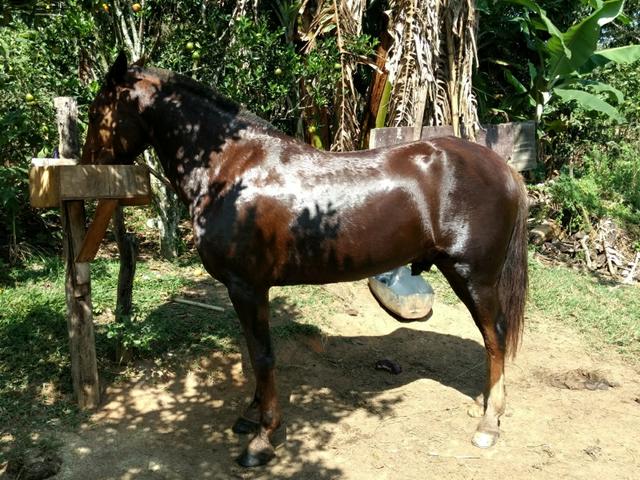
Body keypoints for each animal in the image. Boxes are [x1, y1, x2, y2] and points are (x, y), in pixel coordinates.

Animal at [82, 52, 528, 467]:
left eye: (97, 111)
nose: (87, 173)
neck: (233, 171)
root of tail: (504, 168)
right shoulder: (247, 290)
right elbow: (254, 352)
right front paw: (251, 415)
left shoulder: (248, 286)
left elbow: (263, 356)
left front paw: (262, 438)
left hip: (473, 277)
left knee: (495, 338)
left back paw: (489, 423)